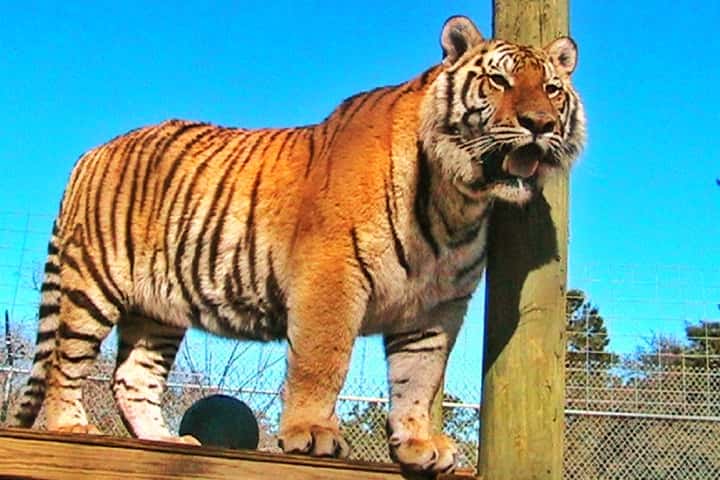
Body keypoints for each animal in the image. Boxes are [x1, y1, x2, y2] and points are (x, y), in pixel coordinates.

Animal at [11, 15, 584, 472]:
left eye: (552, 89)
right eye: (498, 80)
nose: (539, 124)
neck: (458, 197)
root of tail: (93, 151)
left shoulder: (436, 306)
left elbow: (419, 378)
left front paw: (419, 443)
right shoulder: (332, 276)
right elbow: (321, 360)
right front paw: (310, 434)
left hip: (158, 311)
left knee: (132, 378)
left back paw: (168, 442)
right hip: (91, 286)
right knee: (65, 360)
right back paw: (70, 428)